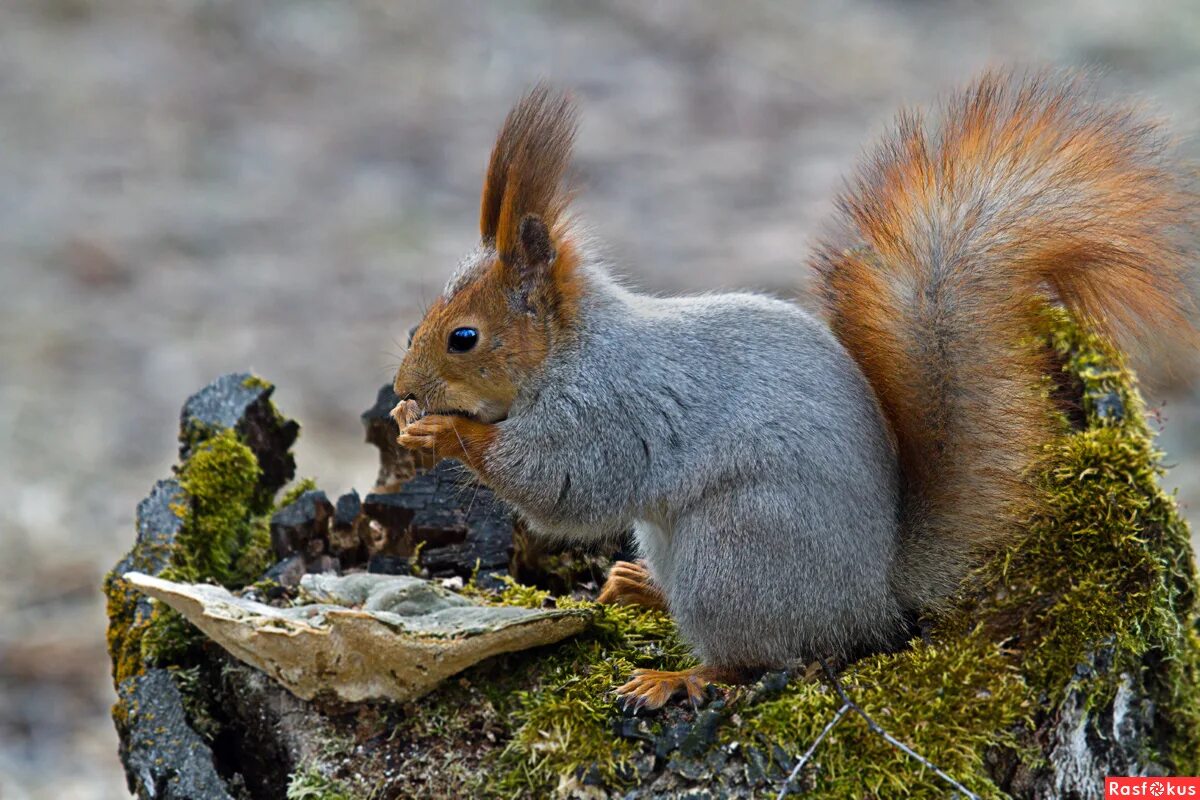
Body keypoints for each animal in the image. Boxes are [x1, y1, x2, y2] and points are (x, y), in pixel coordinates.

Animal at [391, 71, 1190, 710]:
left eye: (463, 337)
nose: (401, 386)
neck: (572, 351)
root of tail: (872, 600)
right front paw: (413, 422)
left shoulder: (609, 411)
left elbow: (559, 484)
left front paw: (443, 431)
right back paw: (639, 587)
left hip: (734, 555)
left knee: (767, 659)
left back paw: (682, 677)